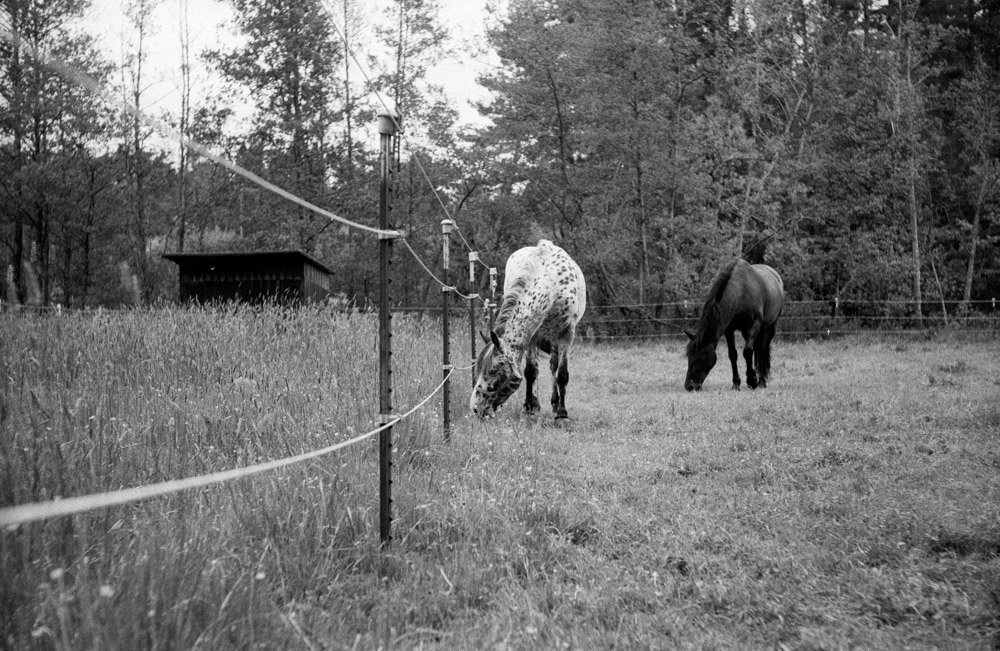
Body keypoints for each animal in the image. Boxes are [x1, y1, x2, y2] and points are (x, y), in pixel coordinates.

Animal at [468, 238, 584, 418]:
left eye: (493, 370)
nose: (475, 408)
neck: (552, 286)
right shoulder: (532, 336)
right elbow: (530, 371)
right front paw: (530, 405)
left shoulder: (566, 333)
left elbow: (562, 373)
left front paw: (562, 413)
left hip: (555, 338)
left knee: (554, 365)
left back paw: (555, 402)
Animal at [684, 258, 784, 392]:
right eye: (688, 355)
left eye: (700, 357)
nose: (689, 386)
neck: (741, 292)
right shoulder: (729, 329)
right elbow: (733, 354)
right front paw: (736, 383)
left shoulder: (754, 325)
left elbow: (747, 351)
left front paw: (752, 380)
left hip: (770, 327)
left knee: (762, 350)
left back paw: (762, 381)